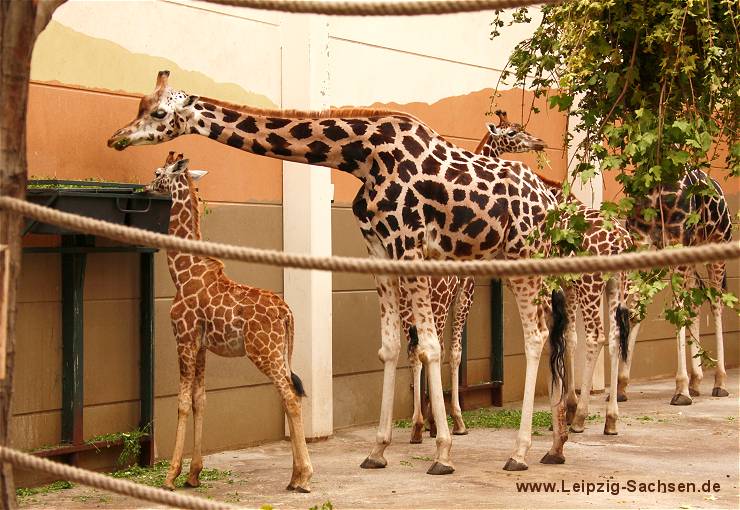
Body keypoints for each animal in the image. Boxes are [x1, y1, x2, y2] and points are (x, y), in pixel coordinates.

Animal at [145, 152, 312, 494]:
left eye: (157, 172)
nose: (144, 187)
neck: (181, 272)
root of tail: (287, 313)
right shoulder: (202, 346)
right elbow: (201, 400)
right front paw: (193, 474)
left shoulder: (183, 337)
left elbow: (182, 402)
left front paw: (170, 476)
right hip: (279, 353)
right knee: (290, 393)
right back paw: (293, 477)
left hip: (263, 352)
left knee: (290, 396)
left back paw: (304, 477)